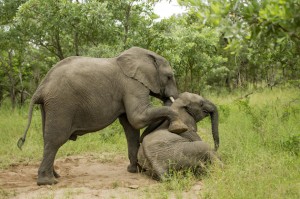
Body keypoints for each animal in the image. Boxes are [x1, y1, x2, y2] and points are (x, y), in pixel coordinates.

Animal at [17, 46, 188, 185]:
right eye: (169, 77)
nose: (171, 98)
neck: (146, 56)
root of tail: (41, 87)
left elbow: (131, 128)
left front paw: (134, 171)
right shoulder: (132, 84)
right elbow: (137, 118)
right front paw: (179, 127)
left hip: (49, 106)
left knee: (47, 139)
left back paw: (55, 176)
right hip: (61, 104)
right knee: (55, 140)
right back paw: (48, 182)